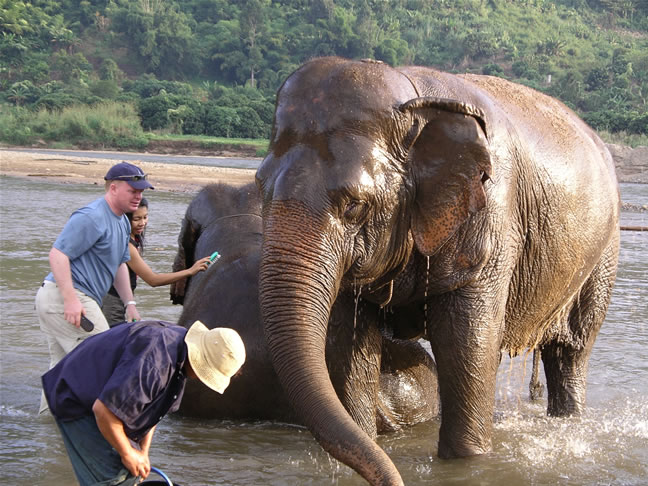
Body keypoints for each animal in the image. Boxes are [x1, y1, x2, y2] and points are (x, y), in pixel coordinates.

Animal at [255, 57, 620, 485]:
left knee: (571, 351)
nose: (393, 479)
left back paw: (569, 422)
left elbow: (467, 343)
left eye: (355, 207)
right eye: (259, 188)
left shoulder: (492, 218)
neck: (415, 99)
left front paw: (468, 462)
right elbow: (348, 342)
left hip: (604, 251)